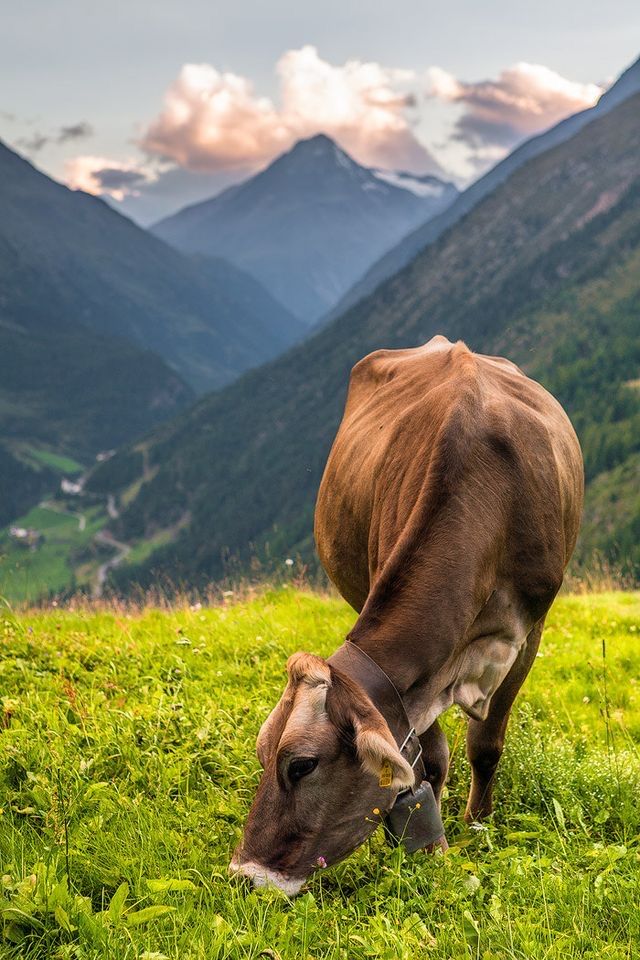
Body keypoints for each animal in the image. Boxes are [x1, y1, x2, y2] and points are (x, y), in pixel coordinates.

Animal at [231, 336, 584, 892]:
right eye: (263, 755)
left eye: (302, 766)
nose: (245, 875)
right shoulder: (416, 677)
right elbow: (429, 757)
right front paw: (435, 847)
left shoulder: (529, 632)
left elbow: (486, 745)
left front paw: (476, 826)